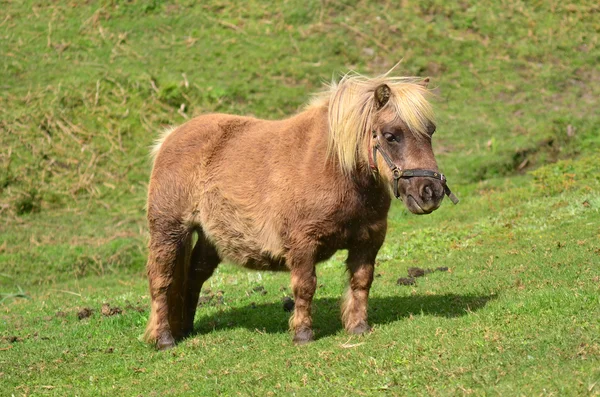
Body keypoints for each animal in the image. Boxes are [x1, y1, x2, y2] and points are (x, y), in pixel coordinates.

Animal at [143, 69, 458, 348]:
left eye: (430, 131)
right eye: (391, 135)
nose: (430, 192)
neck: (334, 169)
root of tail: (169, 138)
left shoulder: (368, 240)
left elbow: (361, 282)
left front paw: (358, 327)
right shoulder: (302, 244)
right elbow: (305, 286)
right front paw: (303, 334)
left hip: (210, 239)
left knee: (194, 277)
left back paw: (186, 328)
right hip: (169, 232)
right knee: (161, 282)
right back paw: (165, 339)